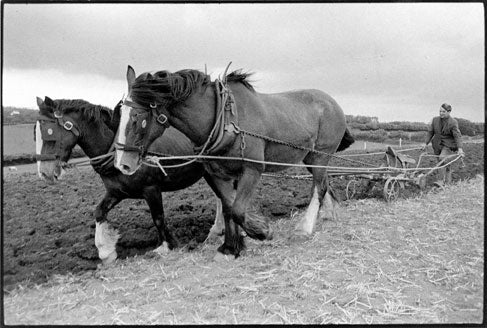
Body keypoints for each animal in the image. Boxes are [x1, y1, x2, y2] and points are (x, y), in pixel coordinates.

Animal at [35, 95, 224, 264]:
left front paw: (166, 246)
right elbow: (99, 212)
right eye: (34, 134)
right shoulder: (116, 192)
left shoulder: (151, 189)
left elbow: (158, 217)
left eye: (49, 132)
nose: (44, 173)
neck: (116, 152)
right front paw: (106, 252)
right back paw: (217, 231)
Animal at [113, 65, 354, 258]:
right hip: (311, 158)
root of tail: (332, 101)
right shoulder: (217, 173)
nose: (122, 164)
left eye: (137, 117)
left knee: (318, 188)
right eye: (119, 114)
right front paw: (230, 247)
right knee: (325, 183)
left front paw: (262, 231)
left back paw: (305, 228)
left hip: (321, 154)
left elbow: (238, 209)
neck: (224, 120)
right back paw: (330, 215)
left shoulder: (252, 169)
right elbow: (228, 208)